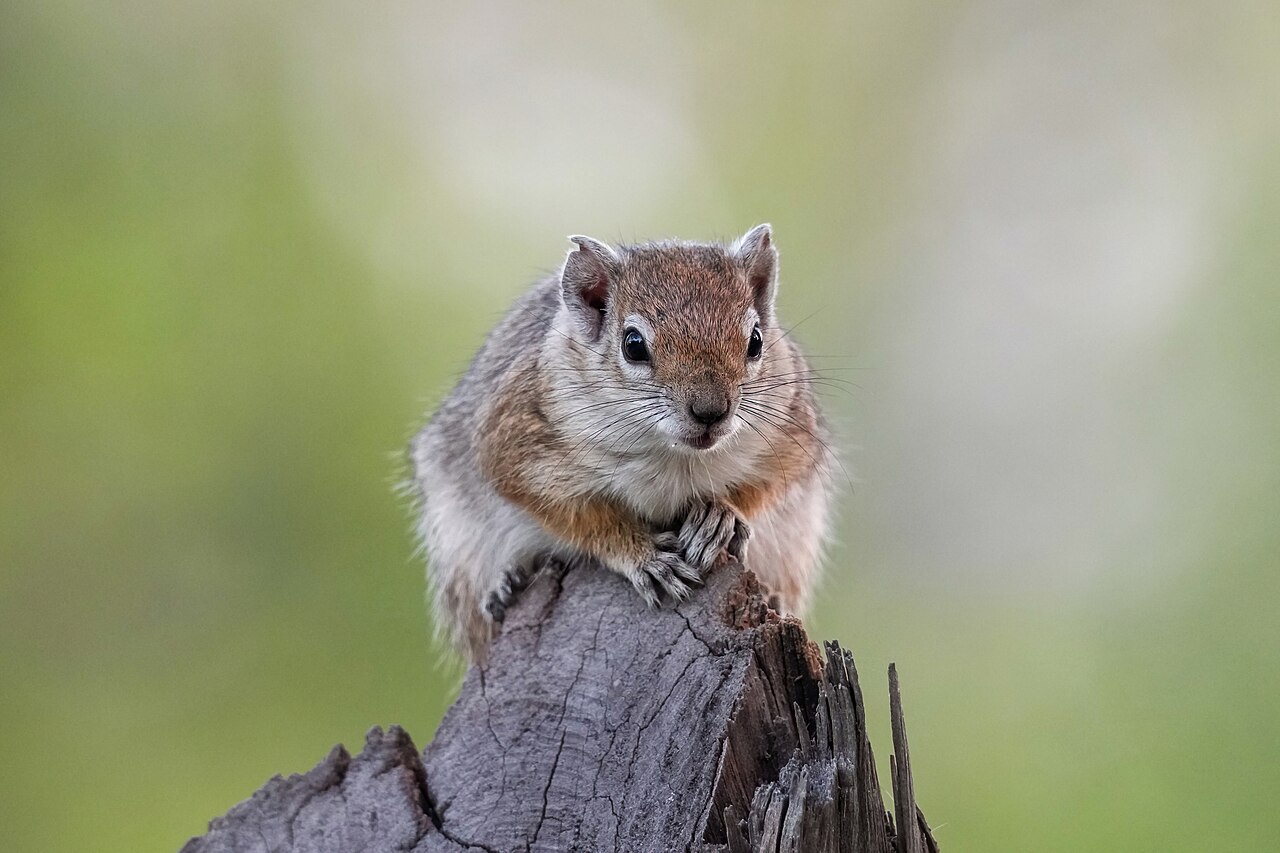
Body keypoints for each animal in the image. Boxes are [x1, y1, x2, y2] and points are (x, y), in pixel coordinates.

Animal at [409, 225, 834, 662]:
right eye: (633, 345)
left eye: (755, 341)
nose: (711, 412)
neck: (674, 455)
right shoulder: (516, 444)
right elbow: (579, 517)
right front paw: (643, 556)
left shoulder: (790, 437)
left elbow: (763, 488)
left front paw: (720, 516)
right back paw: (508, 583)